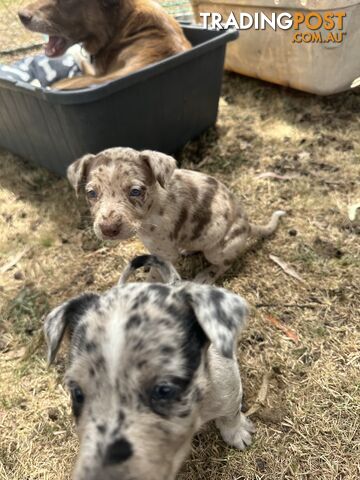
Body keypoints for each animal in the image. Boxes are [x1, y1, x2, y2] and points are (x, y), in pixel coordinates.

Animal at [68, 146, 286, 282]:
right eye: (91, 193)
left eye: (135, 191)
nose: (108, 229)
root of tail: (248, 225)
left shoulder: (165, 253)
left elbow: (154, 275)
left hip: (219, 249)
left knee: (225, 264)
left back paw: (206, 275)